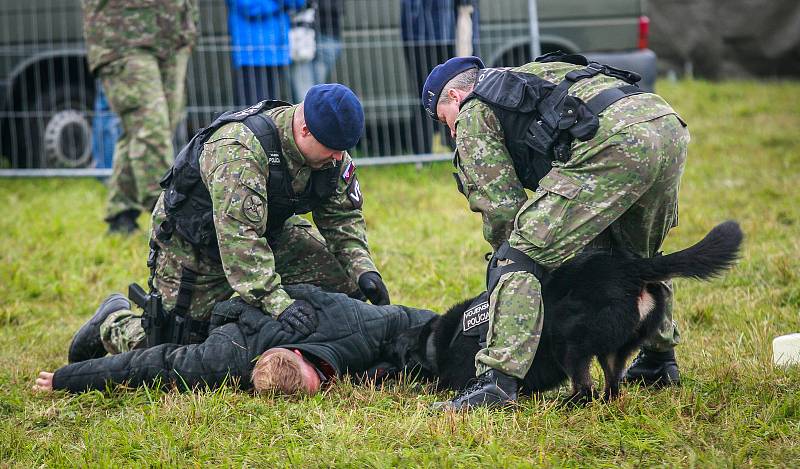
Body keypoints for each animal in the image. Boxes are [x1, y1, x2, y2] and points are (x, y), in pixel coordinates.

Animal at [418, 220, 744, 402]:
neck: (437, 341)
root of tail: (629, 269)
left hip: (568, 337)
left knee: (585, 388)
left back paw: (569, 403)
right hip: (612, 348)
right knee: (613, 387)